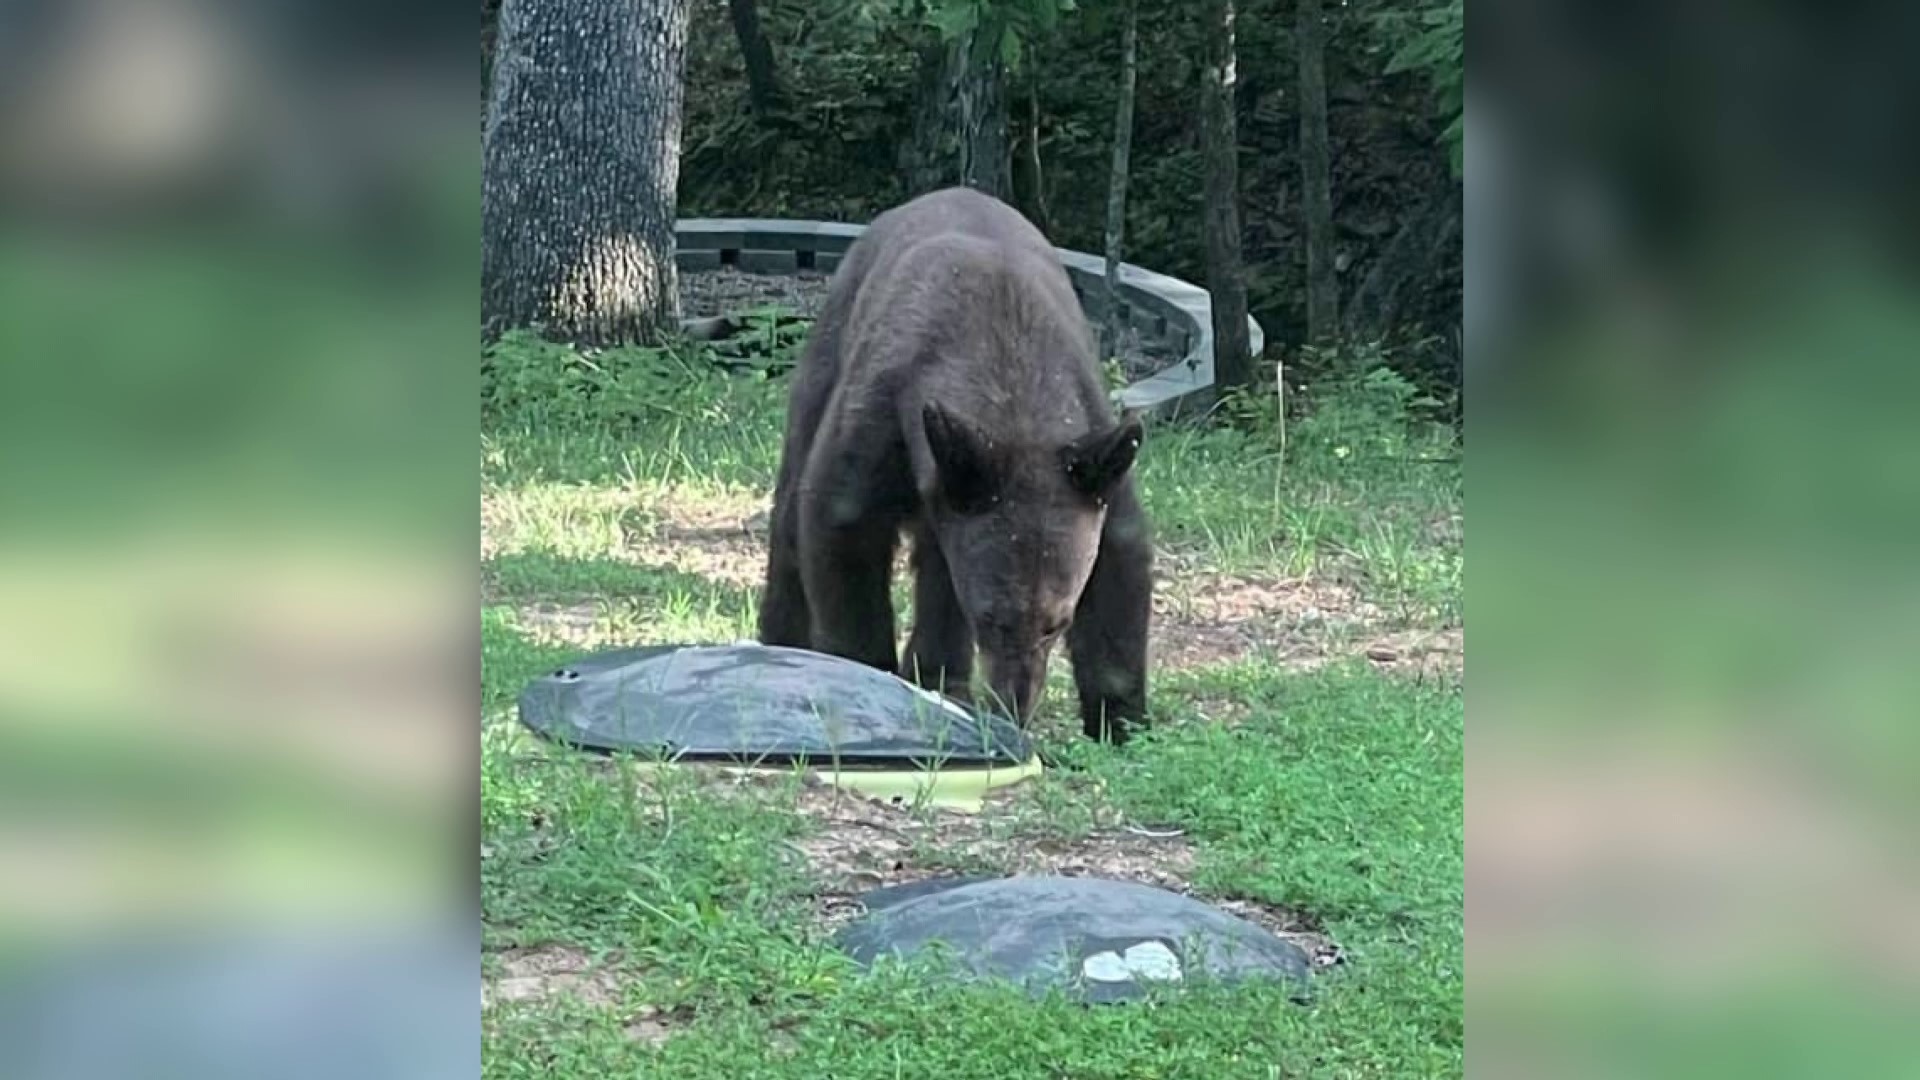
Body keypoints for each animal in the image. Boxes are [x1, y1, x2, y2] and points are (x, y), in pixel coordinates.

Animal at [752, 187, 1144, 737]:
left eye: (1057, 623)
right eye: (992, 619)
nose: (1013, 707)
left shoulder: (1090, 445)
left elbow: (1119, 558)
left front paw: (1122, 721)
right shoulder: (883, 413)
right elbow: (842, 523)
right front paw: (867, 678)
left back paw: (941, 678)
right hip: (828, 357)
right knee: (790, 513)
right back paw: (783, 640)